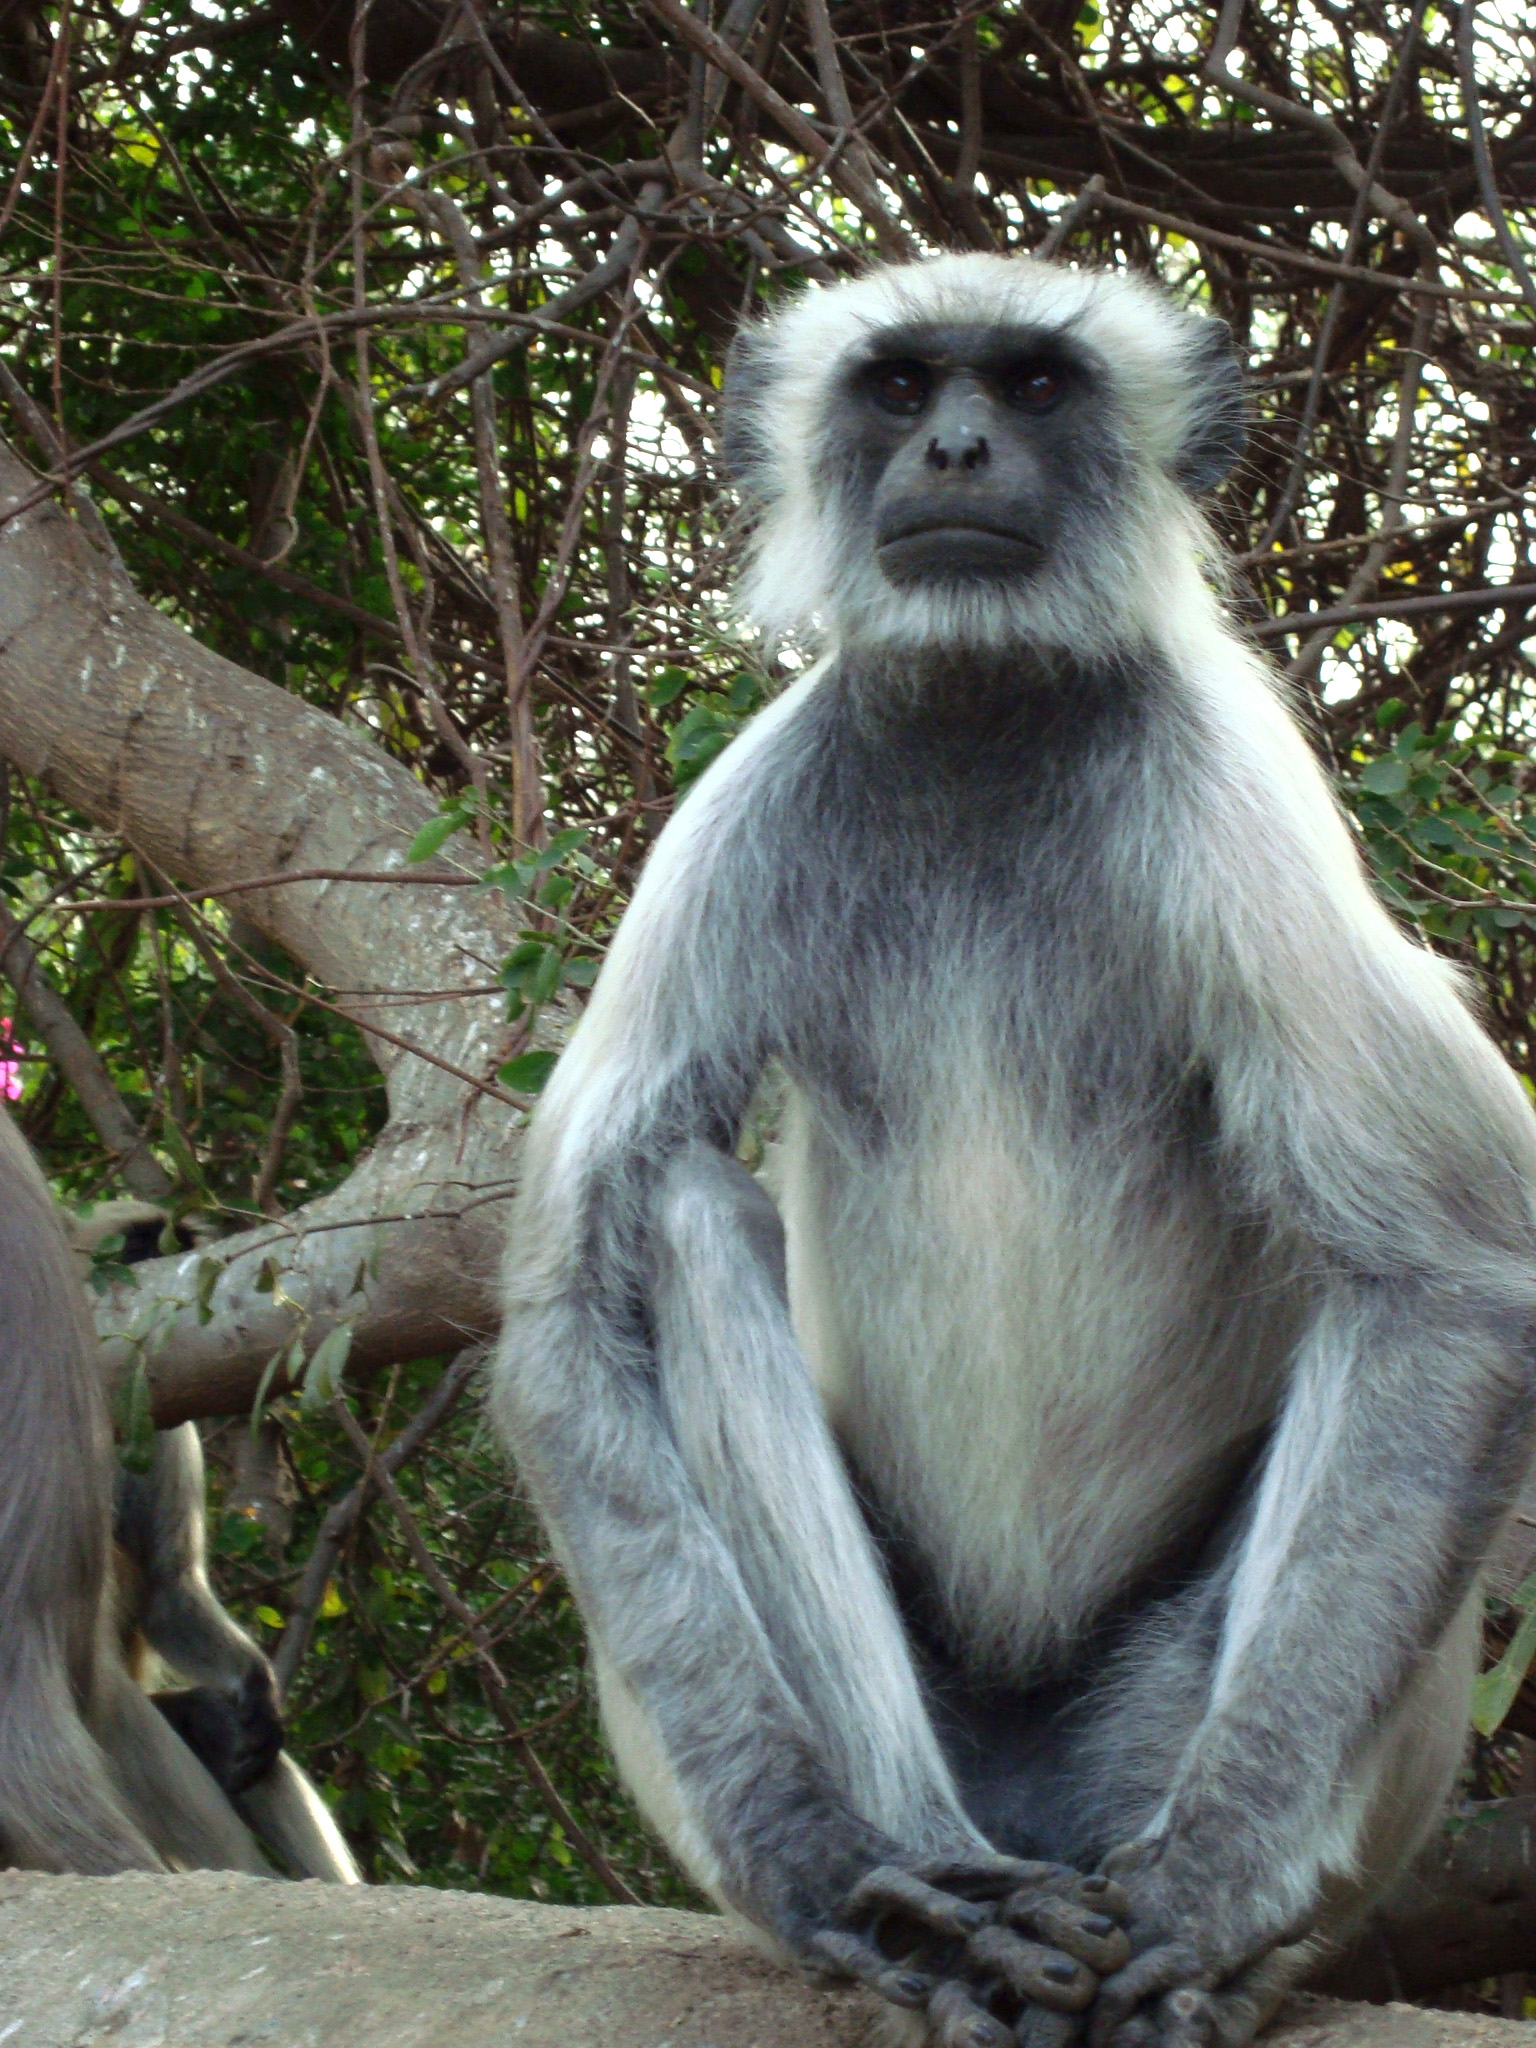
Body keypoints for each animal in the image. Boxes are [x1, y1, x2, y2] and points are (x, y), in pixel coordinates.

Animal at [0, 1108, 357, 1879]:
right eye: (135, 1245)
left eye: (169, 1247)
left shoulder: (158, 1424)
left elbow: (170, 1587)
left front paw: (257, 1695)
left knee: (248, 1749)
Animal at [494, 252, 1536, 2048]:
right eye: (904, 387)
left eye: (1036, 386)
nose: (962, 452)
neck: (984, 724)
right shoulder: (752, 803)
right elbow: (572, 1301)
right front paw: (818, 1863)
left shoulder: (1226, 794)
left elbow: (1461, 1267)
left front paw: (1212, 1894)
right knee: (680, 1212)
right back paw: (921, 1899)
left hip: (1184, 1719)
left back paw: (1222, 1936)